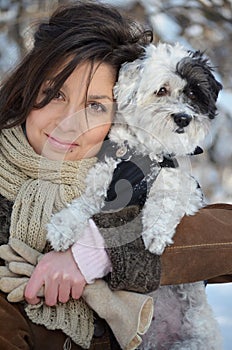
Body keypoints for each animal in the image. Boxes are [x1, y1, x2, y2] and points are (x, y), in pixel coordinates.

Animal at [46, 42, 223, 348]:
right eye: (161, 90)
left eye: (193, 93)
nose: (183, 118)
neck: (146, 152)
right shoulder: (103, 181)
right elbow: (83, 205)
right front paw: (63, 227)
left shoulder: (186, 188)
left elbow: (166, 192)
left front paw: (155, 233)